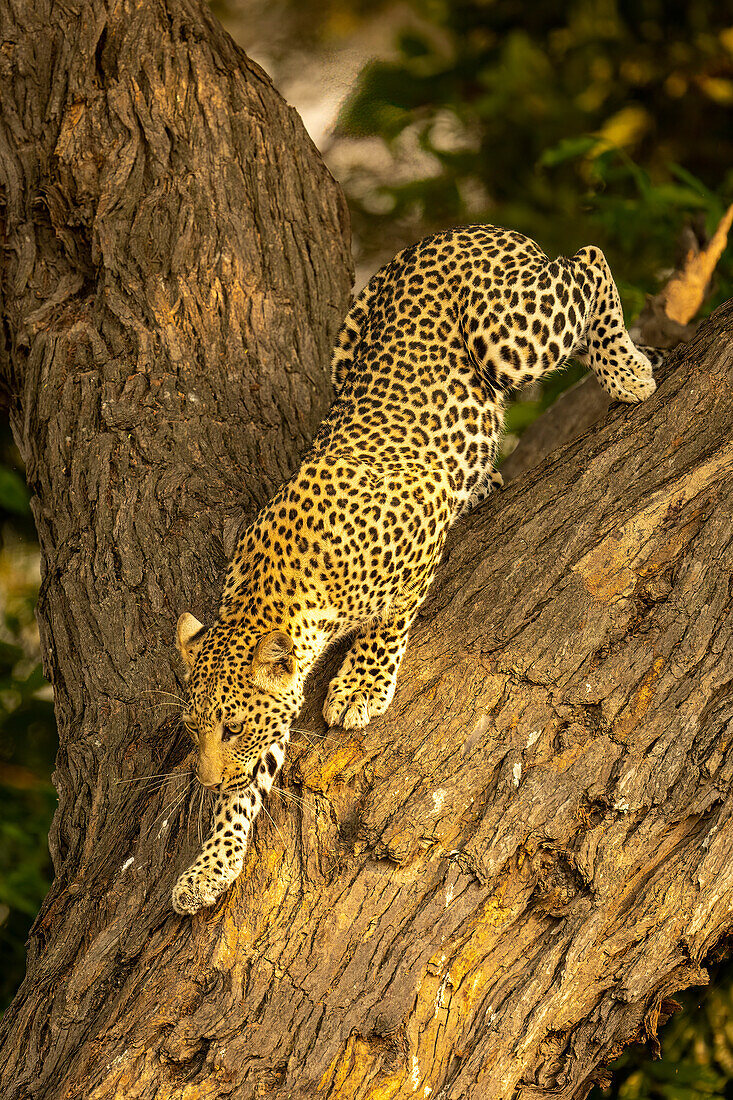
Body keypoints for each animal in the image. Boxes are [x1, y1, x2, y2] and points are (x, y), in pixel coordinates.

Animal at [169, 223, 655, 910]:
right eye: (194, 730)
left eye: (232, 729)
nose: (206, 781)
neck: (272, 587)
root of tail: (458, 232)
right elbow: (249, 790)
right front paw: (209, 865)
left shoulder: (421, 528)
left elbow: (389, 619)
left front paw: (359, 689)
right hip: (350, 346)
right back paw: (489, 479)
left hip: (510, 334)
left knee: (587, 263)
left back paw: (628, 371)